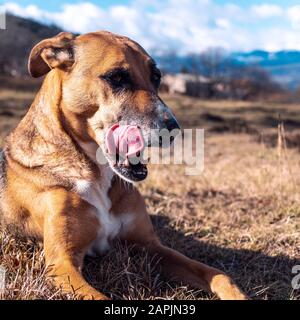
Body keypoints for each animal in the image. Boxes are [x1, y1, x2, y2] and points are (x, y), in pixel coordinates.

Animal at [0, 31, 247, 300]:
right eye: (117, 77)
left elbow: (218, 274)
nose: (173, 130)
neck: (97, 175)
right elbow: (97, 296)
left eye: (156, 77)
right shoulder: (62, 263)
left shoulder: (150, 246)